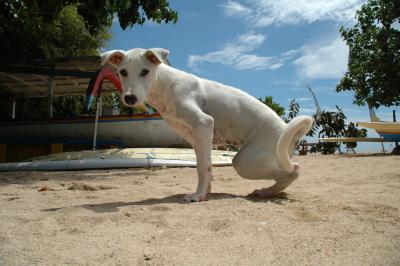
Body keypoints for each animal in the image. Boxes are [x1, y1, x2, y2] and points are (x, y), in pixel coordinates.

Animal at [101, 47, 314, 202]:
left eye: (145, 72)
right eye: (122, 72)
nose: (130, 98)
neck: (164, 85)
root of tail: (287, 130)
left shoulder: (203, 123)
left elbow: (203, 168)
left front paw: (198, 196)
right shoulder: (197, 137)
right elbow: (204, 166)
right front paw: (206, 191)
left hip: (245, 162)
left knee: (293, 170)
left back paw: (267, 192)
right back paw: (268, 192)